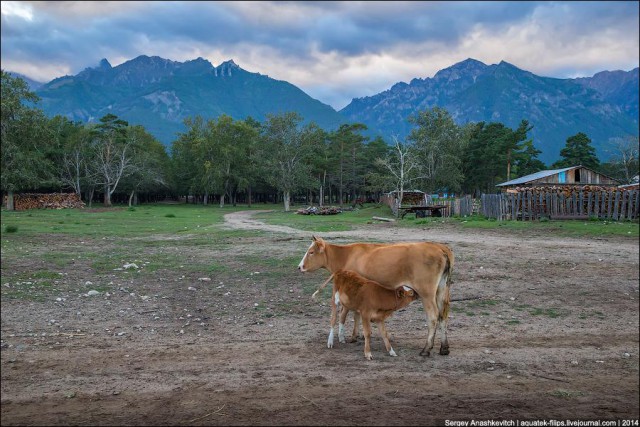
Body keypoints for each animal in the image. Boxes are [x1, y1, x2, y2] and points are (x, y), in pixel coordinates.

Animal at [298, 236, 452, 356]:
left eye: (311, 252)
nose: (299, 267)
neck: (347, 255)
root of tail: (439, 247)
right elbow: (355, 314)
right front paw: (356, 335)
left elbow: (348, 314)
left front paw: (350, 337)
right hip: (442, 289)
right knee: (443, 315)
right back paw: (444, 348)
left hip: (426, 293)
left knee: (433, 316)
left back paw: (426, 349)